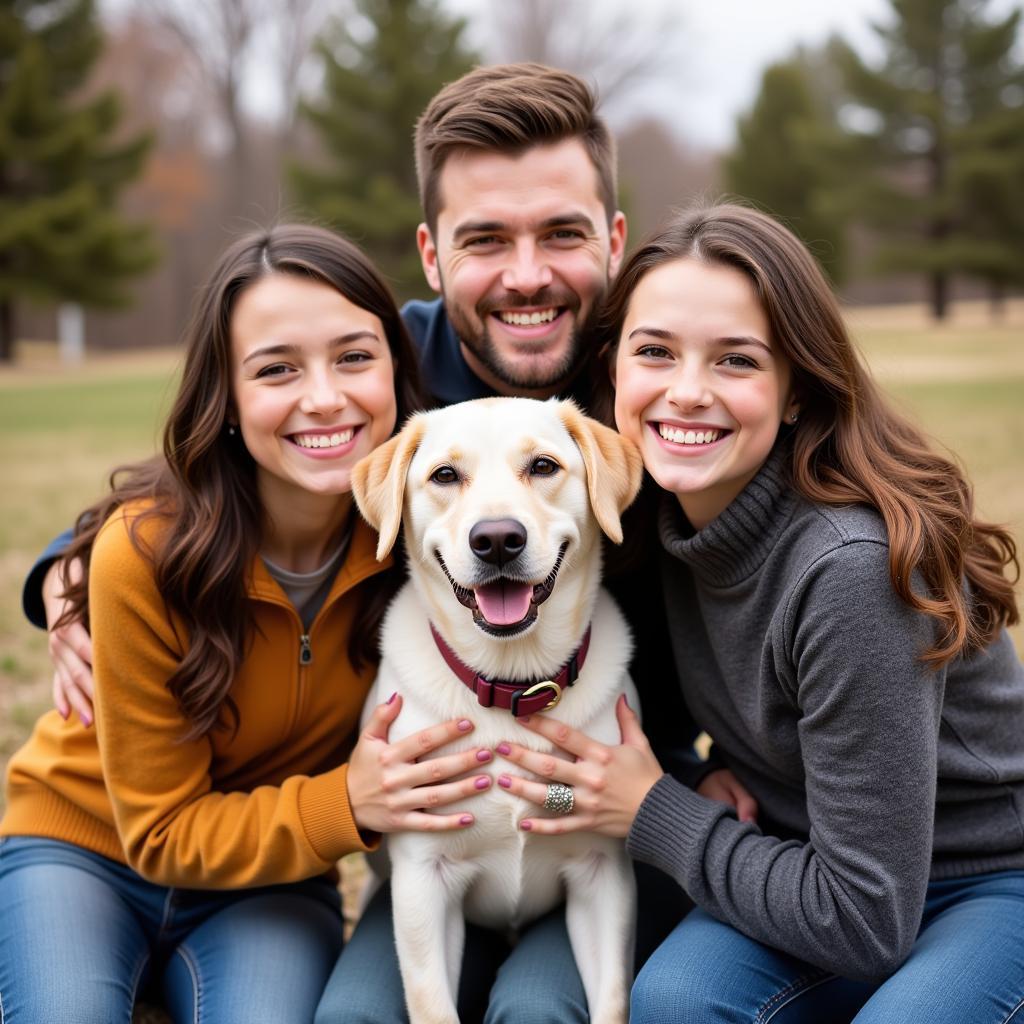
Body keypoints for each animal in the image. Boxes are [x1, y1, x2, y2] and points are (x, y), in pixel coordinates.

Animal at [352, 395, 638, 1024]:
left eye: (543, 466)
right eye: (444, 476)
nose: (499, 539)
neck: (511, 685)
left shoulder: (602, 872)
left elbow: (612, 998)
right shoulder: (423, 881)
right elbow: (433, 1003)